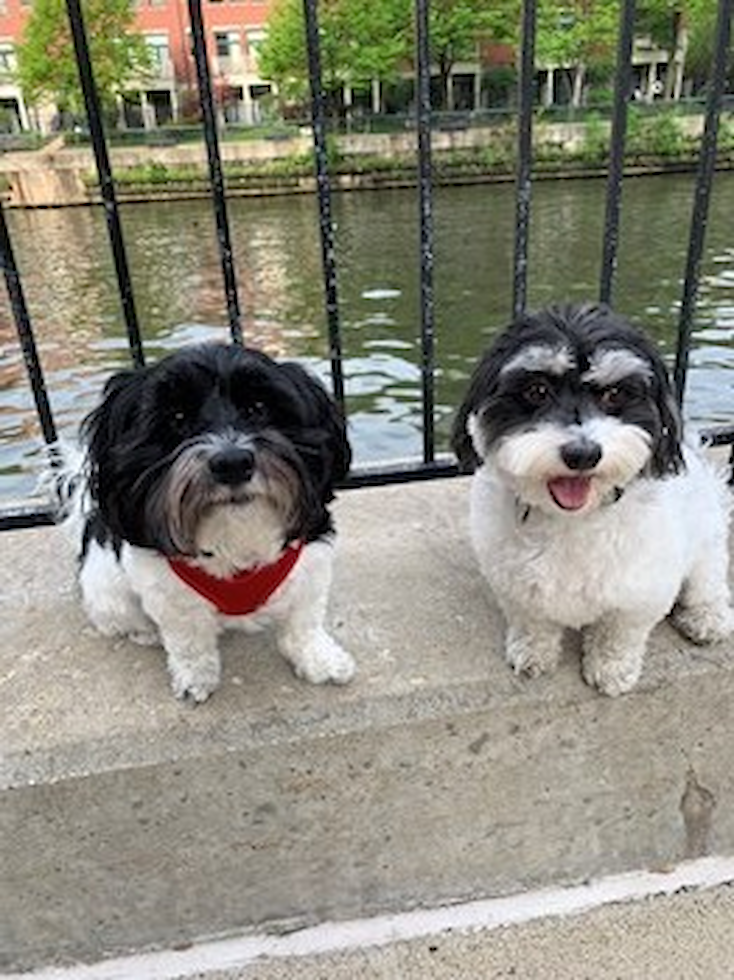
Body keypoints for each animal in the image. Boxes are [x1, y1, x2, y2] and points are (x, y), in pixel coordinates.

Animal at [52, 340, 356, 700]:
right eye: (177, 418)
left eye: (257, 408)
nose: (233, 462)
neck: (235, 532)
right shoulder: (169, 596)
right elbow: (189, 641)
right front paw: (195, 677)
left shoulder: (309, 566)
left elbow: (303, 621)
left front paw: (319, 659)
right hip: (109, 594)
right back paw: (145, 634)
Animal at [452, 302, 732, 692]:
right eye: (537, 390)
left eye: (614, 394)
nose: (582, 454)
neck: (574, 519)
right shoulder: (516, 584)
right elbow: (532, 621)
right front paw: (532, 652)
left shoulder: (640, 593)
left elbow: (618, 632)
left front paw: (612, 669)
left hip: (706, 544)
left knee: (708, 581)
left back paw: (707, 618)